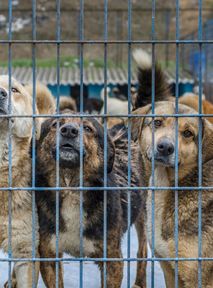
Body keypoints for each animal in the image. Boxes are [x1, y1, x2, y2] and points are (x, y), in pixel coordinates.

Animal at [35, 111, 147, 286]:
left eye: (87, 128)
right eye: (56, 124)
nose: (69, 131)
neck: (71, 187)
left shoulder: (112, 260)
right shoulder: (49, 255)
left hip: (143, 212)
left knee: (143, 249)